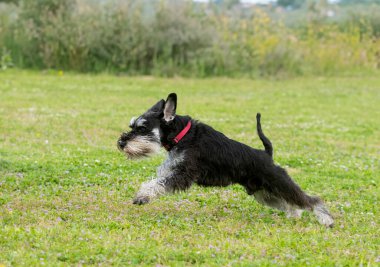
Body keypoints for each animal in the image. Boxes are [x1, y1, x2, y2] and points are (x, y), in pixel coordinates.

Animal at [117, 93, 334, 227]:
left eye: (142, 128)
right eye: (132, 125)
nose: (120, 143)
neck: (182, 135)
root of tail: (267, 155)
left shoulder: (184, 173)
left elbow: (159, 184)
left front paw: (143, 196)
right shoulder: (174, 167)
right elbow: (157, 179)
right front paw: (142, 194)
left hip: (279, 183)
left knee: (310, 200)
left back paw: (326, 220)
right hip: (264, 193)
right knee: (291, 203)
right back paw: (294, 215)